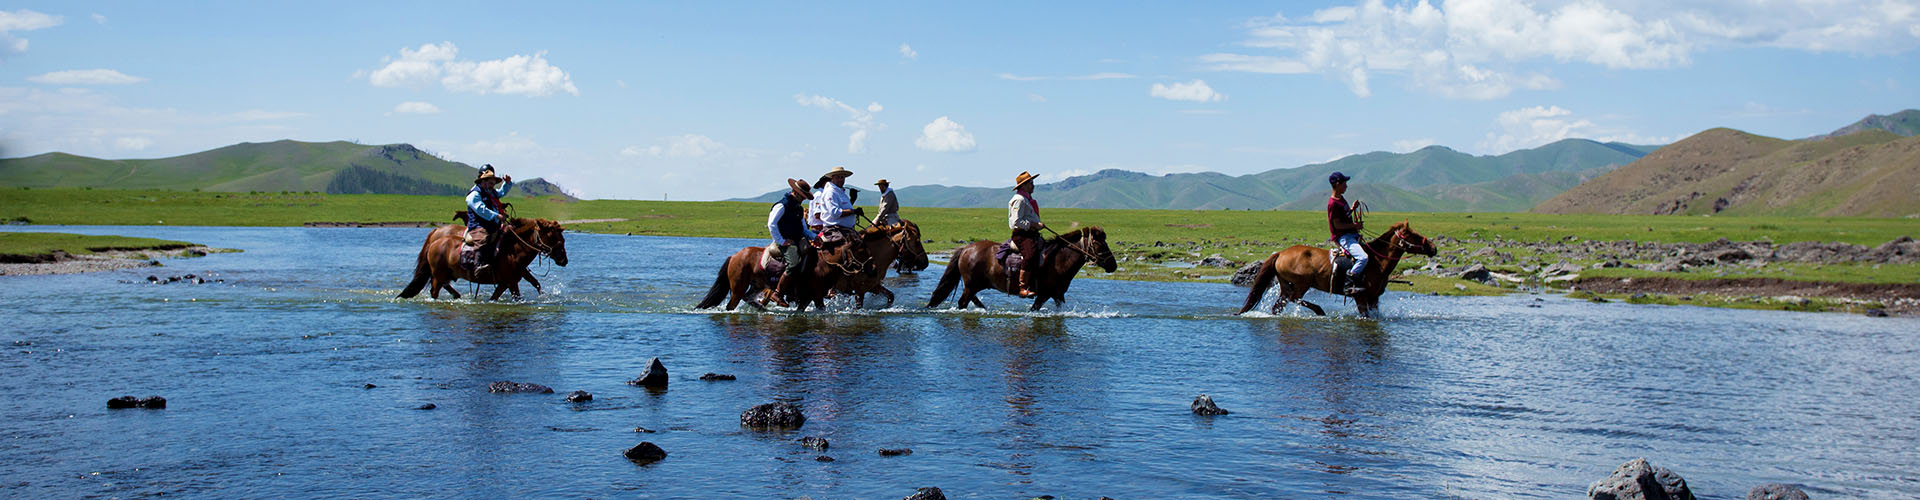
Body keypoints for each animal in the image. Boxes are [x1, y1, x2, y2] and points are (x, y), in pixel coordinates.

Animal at [393, 215, 564, 300]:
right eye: (552, 236)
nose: (564, 259)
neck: (512, 250)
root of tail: (435, 238)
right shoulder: (511, 282)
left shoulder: (507, 282)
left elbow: (535, 283)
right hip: (438, 275)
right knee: (435, 291)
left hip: (445, 274)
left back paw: (457, 295)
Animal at [698, 231, 879, 311]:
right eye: (861, 250)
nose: (873, 269)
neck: (823, 264)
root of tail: (734, 256)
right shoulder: (816, 295)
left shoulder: (808, 297)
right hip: (737, 287)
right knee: (732, 305)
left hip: (756, 285)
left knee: (748, 298)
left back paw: (763, 308)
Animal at [925, 227, 1121, 311]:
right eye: (1098, 243)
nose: (1113, 264)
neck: (1058, 260)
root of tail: (966, 248)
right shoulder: (1045, 294)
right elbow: (1034, 309)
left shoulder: (1057, 294)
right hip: (972, 285)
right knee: (962, 302)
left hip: (973, 285)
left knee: (971, 300)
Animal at [1236, 222, 1436, 317]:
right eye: (1413, 235)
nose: (1433, 248)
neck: (1377, 262)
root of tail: (1281, 253)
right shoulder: (1361, 296)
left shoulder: (1374, 298)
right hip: (1302, 283)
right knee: (1294, 298)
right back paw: (1319, 311)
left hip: (1286, 284)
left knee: (1280, 305)